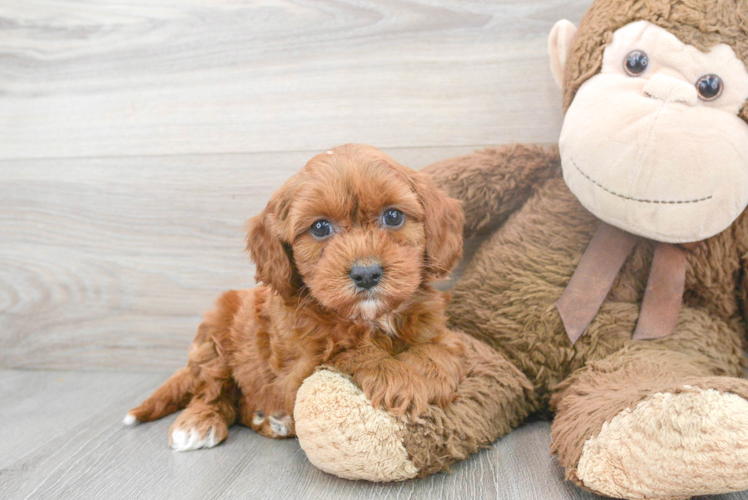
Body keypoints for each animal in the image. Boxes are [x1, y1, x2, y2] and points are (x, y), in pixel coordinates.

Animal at [124, 144, 462, 450]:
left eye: (393, 216)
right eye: (320, 227)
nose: (366, 274)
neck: (369, 318)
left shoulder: (439, 332)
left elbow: (438, 351)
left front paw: (426, 375)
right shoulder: (298, 369)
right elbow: (348, 352)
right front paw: (397, 378)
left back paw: (270, 420)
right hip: (214, 335)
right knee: (212, 390)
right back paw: (200, 423)